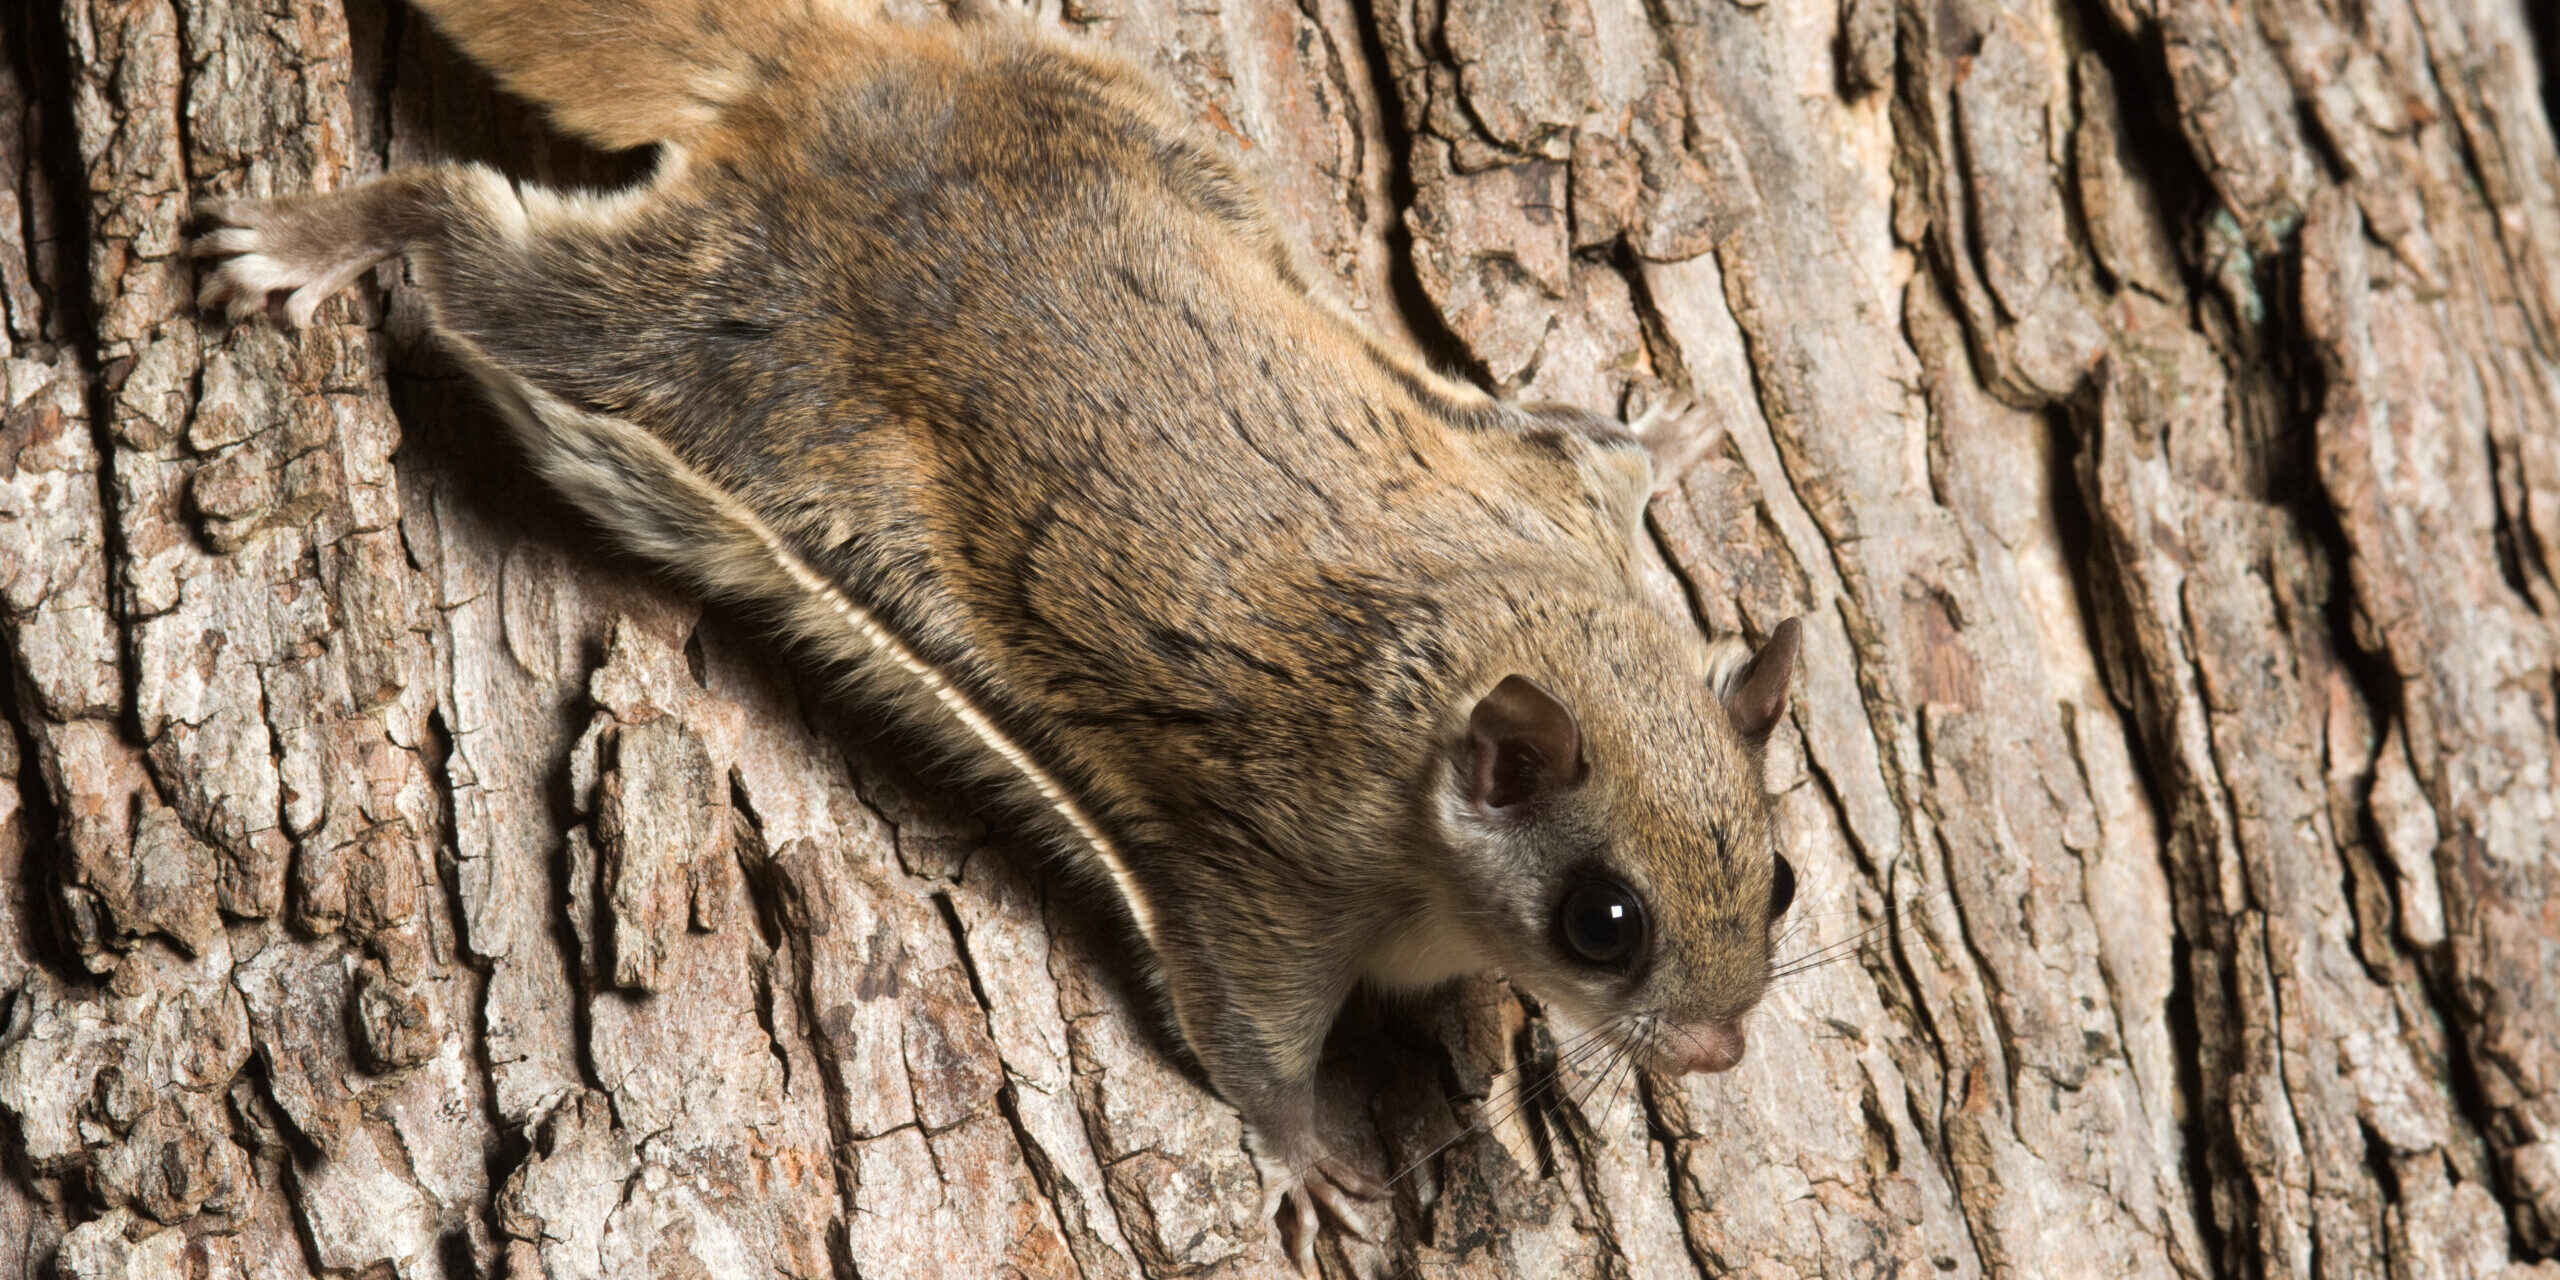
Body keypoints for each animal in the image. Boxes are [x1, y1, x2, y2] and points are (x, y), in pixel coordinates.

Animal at [195, 0, 1802, 1267]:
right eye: (1605, 923)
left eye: (1780, 880)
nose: (1722, 1047)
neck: (1467, 643)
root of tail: (815, 85)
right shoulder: (1275, 865)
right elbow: (1248, 1030)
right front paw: (1304, 1160)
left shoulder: (1542, 494)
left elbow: (1591, 450)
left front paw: (1668, 438)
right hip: (695, 339)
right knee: (476, 245)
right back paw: (328, 234)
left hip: (1110, 116)